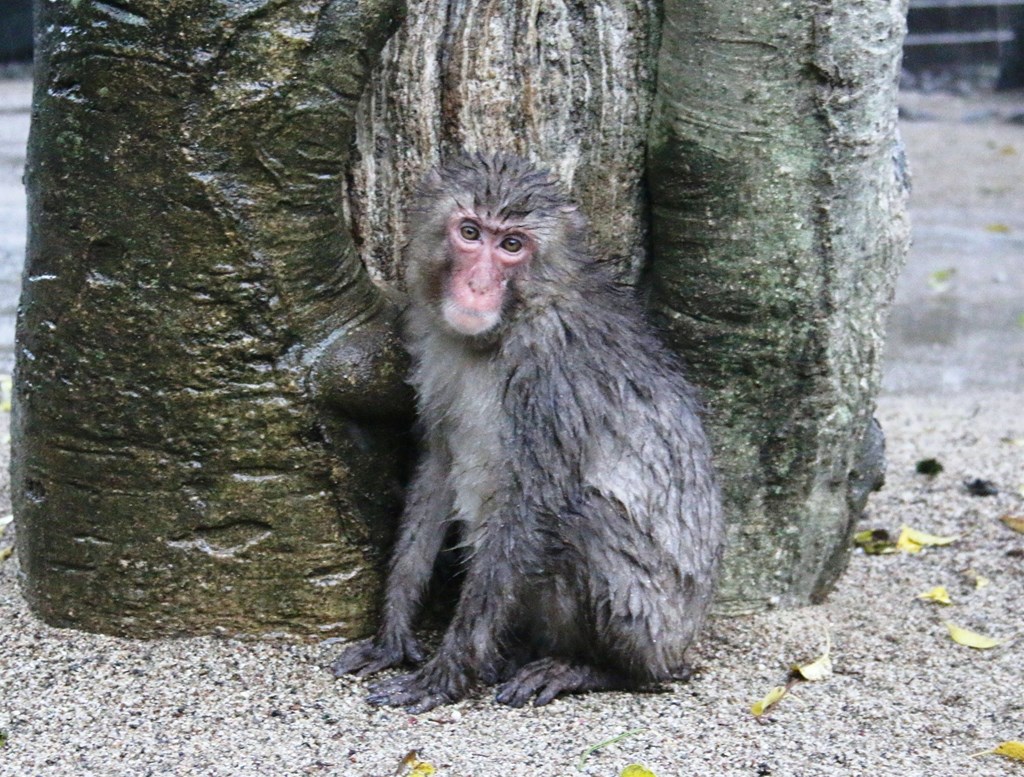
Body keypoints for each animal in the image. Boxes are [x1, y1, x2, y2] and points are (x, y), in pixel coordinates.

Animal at [331, 151, 724, 712]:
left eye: (512, 246)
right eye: (470, 232)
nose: (477, 285)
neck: (511, 322)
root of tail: (681, 645)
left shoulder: (553, 372)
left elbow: (534, 505)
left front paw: (444, 672)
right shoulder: (432, 343)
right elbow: (438, 466)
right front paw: (393, 631)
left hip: (655, 628)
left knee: (585, 517)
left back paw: (593, 668)